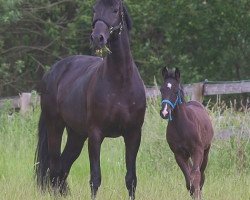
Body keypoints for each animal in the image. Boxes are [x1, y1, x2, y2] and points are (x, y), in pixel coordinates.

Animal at [34, 0, 146, 199]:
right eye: (94, 9)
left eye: (115, 10)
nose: (97, 38)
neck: (120, 81)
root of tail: (52, 72)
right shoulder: (95, 134)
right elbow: (95, 178)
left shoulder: (133, 134)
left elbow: (131, 179)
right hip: (55, 127)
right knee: (54, 169)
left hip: (76, 135)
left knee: (62, 168)